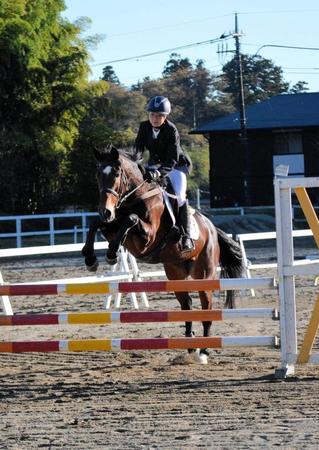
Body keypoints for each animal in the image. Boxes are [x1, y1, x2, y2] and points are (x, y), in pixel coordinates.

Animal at [82, 146, 242, 364]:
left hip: (204, 274)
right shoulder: (112, 226)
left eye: (116, 174)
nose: (104, 211)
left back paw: (203, 352)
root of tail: (212, 228)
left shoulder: (146, 239)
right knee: (187, 305)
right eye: (98, 175)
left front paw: (111, 253)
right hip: (176, 274)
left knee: (206, 307)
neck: (136, 197)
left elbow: (131, 219)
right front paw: (90, 259)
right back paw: (190, 346)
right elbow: (95, 223)